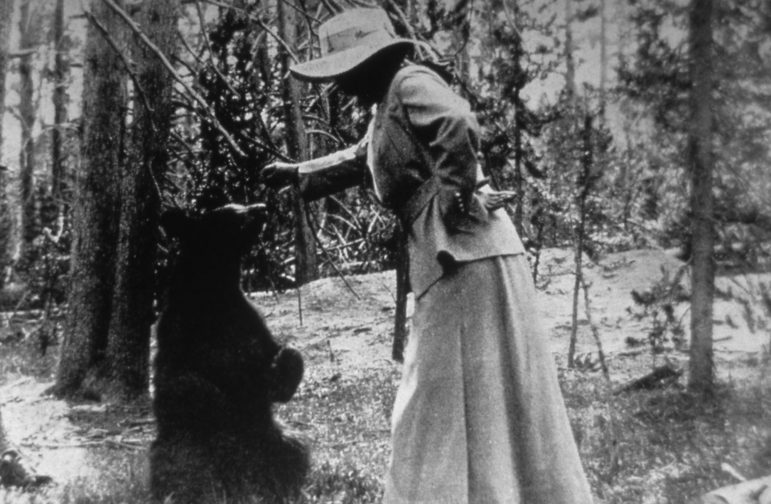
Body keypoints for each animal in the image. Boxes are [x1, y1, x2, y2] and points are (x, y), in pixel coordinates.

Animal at [149, 204, 310, 504]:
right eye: (230, 213)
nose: (261, 207)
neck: (214, 294)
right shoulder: (178, 339)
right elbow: (186, 383)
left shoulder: (251, 325)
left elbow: (284, 355)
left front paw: (284, 370)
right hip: (186, 455)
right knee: (186, 469)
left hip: (275, 440)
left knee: (292, 450)